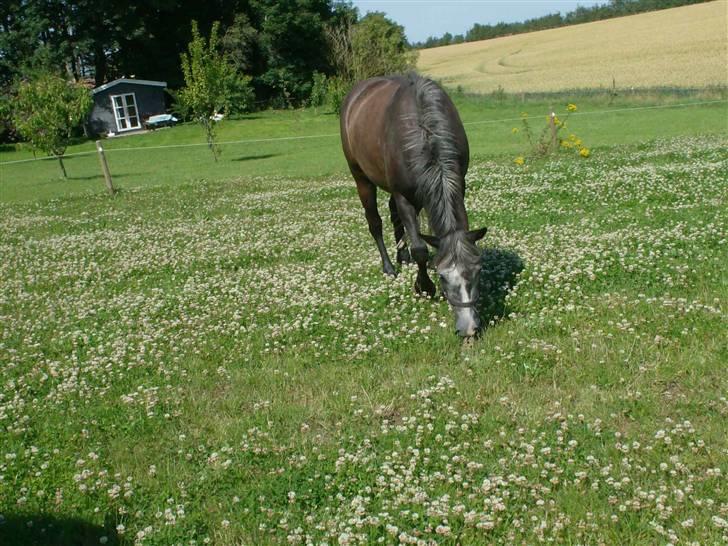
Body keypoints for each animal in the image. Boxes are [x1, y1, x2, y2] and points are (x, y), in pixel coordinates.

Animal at [342, 73, 490, 336]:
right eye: (443, 277)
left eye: (478, 271)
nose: (469, 328)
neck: (426, 131)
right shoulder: (404, 197)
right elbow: (420, 248)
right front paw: (424, 287)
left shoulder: (456, 184)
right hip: (361, 178)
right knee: (375, 223)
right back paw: (389, 267)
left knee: (393, 215)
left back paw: (402, 255)